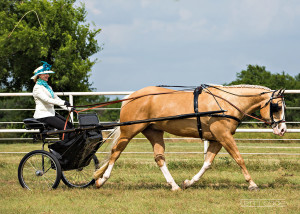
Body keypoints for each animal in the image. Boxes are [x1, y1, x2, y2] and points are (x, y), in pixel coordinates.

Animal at [94, 84, 286, 190]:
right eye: (277, 106)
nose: (282, 129)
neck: (226, 103)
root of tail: (131, 97)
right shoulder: (224, 136)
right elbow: (239, 158)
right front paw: (252, 184)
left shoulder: (217, 139)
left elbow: (207, 163)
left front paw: (188, 182)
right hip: (129, 131)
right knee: (116, 152)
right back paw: (101, 180)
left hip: (153, 132)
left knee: (159, 158)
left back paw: (174, 186)